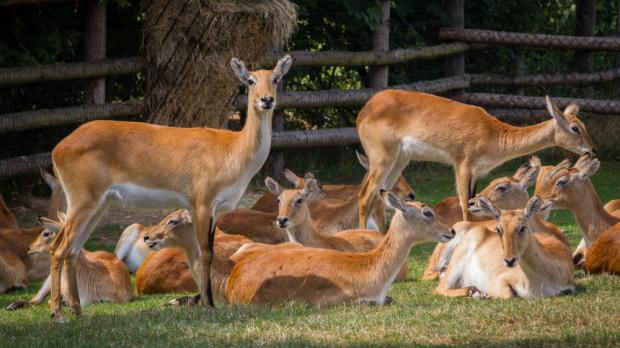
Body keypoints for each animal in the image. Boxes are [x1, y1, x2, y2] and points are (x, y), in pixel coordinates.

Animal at [46, 55, 294, 322]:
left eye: (276, 78)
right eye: (250, 80)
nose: (267, 100)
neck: (233, 151)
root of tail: (58, 148)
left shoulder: (216, 210)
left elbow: (208, 250)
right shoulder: (201, 203)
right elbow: (204, 252)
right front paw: (209, 305)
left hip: (99, 204)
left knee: (73, 249)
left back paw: (77, 311)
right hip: (83, 201)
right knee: (58, 248)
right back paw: (58, 314)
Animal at [358, 91, 596, 230]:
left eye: (584, 125)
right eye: (575, 128)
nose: (592, 150)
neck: (493, 135)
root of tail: (364, 110)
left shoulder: (477, 172)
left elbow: (474, 204)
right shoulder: (462, 165)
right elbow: (465, 205)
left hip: (399, 160)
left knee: (380, 197)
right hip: (382, 157)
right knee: (365, 195)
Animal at [434, 196, 572, 300]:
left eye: (522, 227)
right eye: (499, 229)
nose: (509, 261)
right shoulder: (499, 279)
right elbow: (509, 294)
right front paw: (484, 294)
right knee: (440, 288)